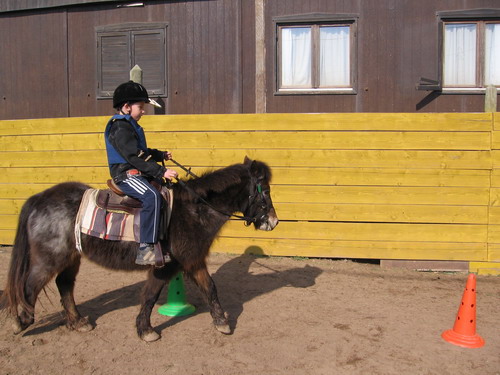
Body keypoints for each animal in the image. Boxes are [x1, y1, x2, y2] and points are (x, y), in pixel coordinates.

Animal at [0, 157, 278, 342]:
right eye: (265, 190)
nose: (273, 221)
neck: (192, 209)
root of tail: (39, 199)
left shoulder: (192, 260)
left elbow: (209, 287)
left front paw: (221, 323)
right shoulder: (165, 265)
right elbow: (151, 295)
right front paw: (146, 330)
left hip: (71, 257)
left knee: (64, 286)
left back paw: (78, 322)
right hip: (49, 259)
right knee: (29, 287)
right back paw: (20, 321)